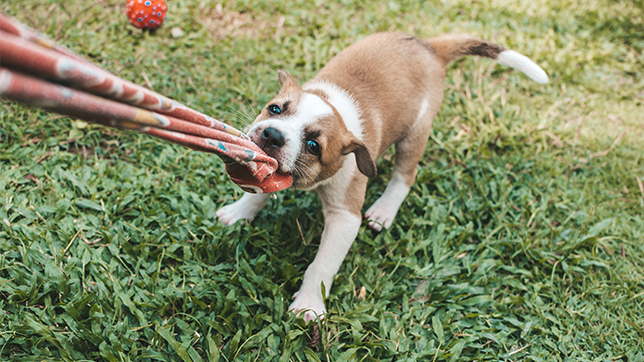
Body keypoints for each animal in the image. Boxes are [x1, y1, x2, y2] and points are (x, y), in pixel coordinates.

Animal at [216, 32, 548, 320]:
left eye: (313, 145)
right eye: (275, 109)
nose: (272, 135)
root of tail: (429, 47)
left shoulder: (345, 217)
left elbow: (322, 265)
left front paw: (309, 304)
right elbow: (258, 192)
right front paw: (239, 212)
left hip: (415, 134)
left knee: (405, 175)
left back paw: (386, 209)